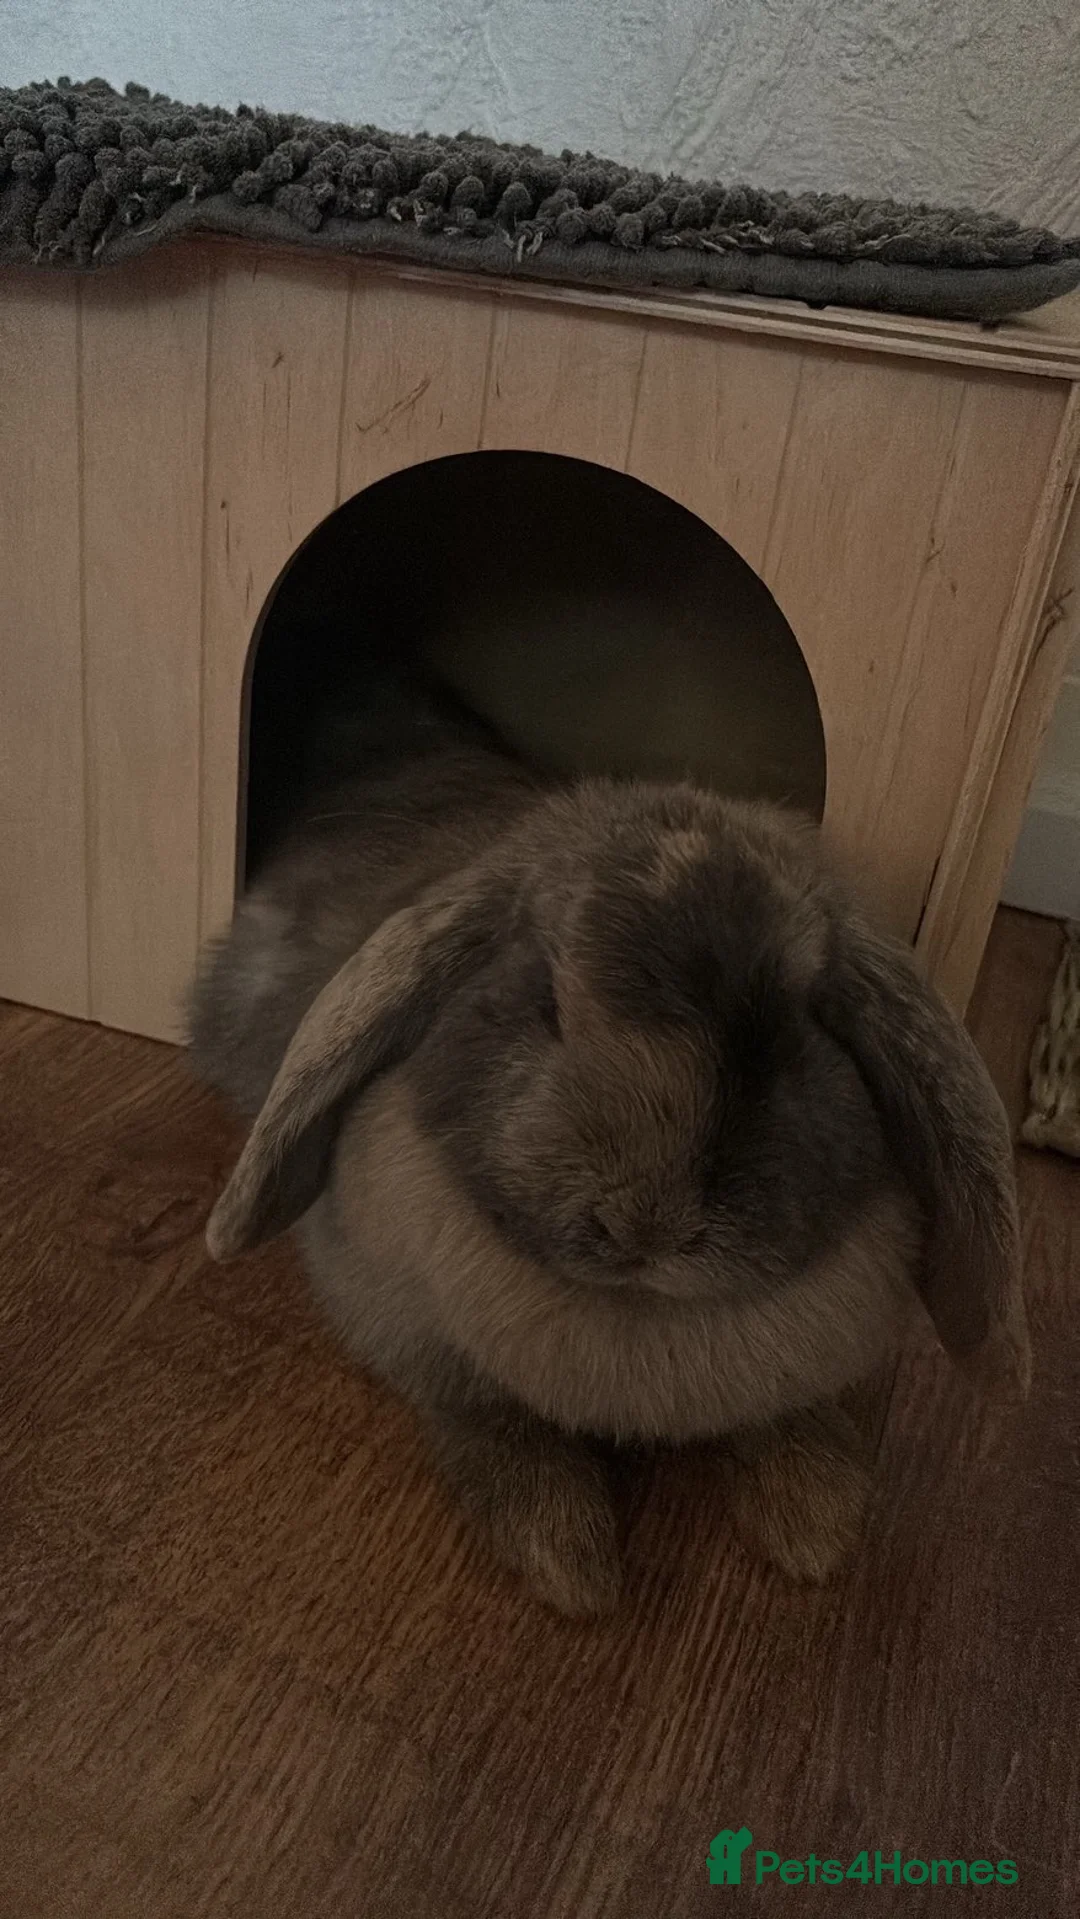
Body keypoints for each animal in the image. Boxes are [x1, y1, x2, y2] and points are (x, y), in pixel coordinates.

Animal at [189, 670, 1029, 1616]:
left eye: (786, 1039)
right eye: (548, 1006)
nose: (646, 1226)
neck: (636, 1319)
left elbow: (782, 1423)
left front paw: (816, 1527)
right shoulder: (417, 1337)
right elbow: (495, 1429)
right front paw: (570, 1564)